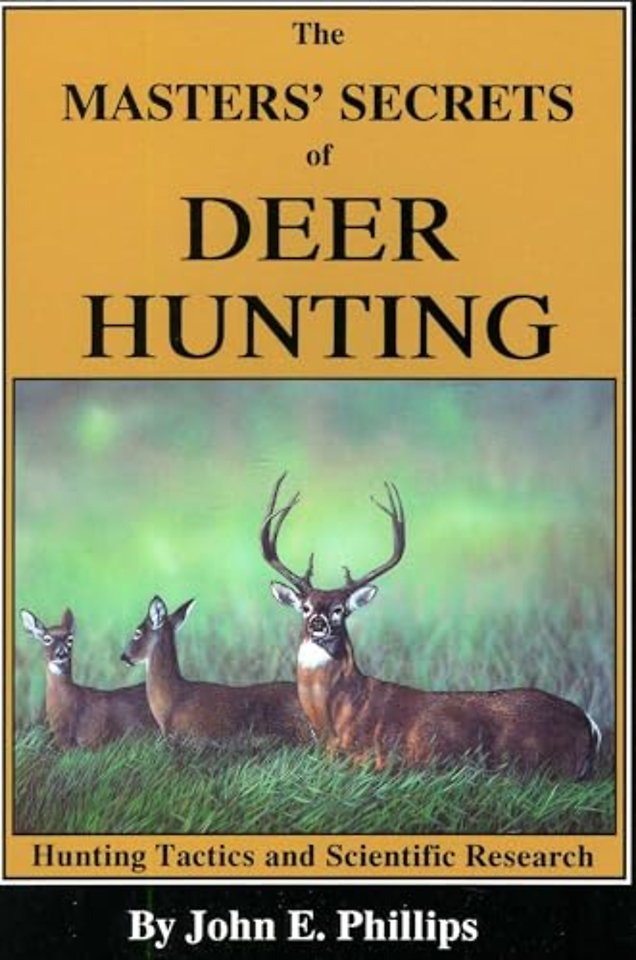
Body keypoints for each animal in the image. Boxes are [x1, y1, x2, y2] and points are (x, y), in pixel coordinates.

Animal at [261, 474, 602, 778]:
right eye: (305, 607)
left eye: (339, 610)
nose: (318, 623)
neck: (337, 715)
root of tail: (587, 721)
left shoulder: (378, 757)